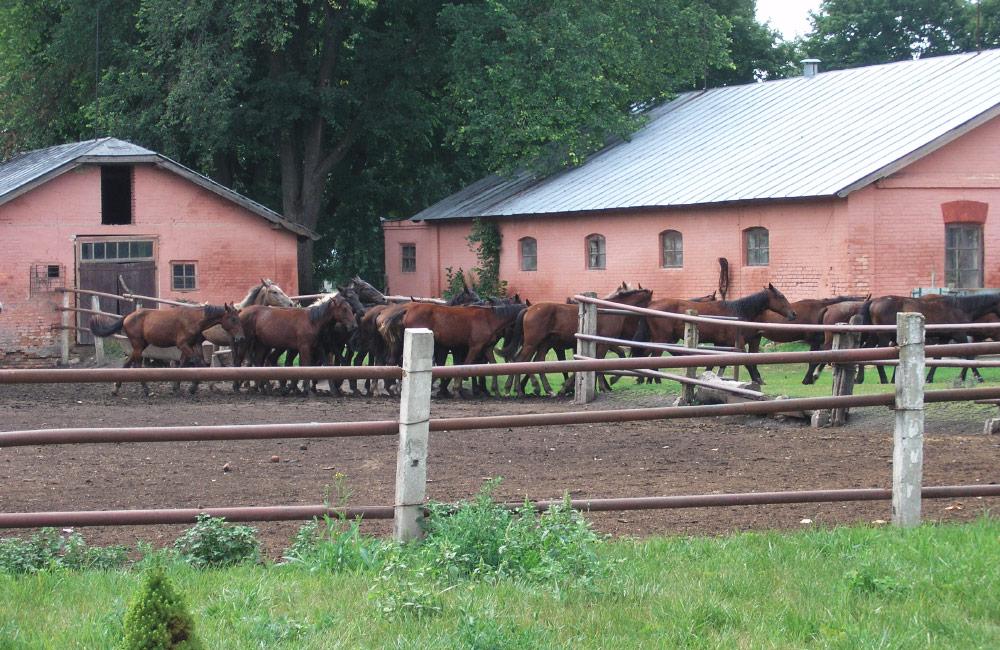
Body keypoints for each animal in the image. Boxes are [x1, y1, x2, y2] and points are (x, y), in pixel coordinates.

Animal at [91, 302, 245, 392]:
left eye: (238, 318)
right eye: (233, 319)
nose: (241, 338)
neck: (194, 319)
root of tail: (127, 317)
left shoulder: (192, 345)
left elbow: (185, 364)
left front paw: (179, 386)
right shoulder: (183, 345)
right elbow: (198, 363)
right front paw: (206, 386)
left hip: (140, 346)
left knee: (127, 364)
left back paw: (116, 388)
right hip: (138, 346)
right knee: (136, 365)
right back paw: (146, 389)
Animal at [640, 284, 796, 384]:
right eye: (781, 296)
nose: (793, 314)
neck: (738, 312)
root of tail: (651, 305)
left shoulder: (721, 344)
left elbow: (713, 364)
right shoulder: (738, 344)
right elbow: (747, 363)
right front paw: (757, 380)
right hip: (662, 339)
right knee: (655, 356)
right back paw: (653, 380)